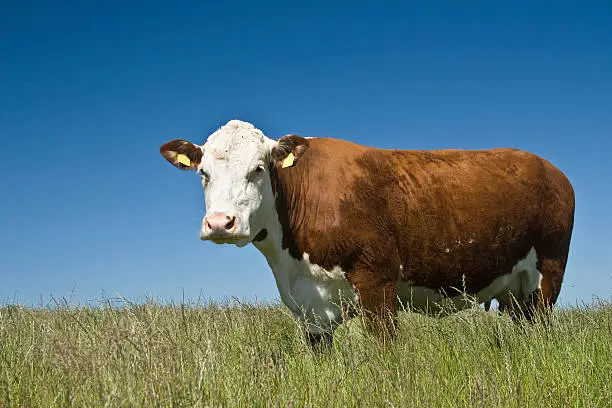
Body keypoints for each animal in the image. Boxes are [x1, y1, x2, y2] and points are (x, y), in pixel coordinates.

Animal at [160, 119, 576, 346]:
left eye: (258, 169)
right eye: (203, 173)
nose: (220, 223)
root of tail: (550, 168)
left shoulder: (378, 283)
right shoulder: (311, 310)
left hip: (547, 278)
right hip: (515, 294)